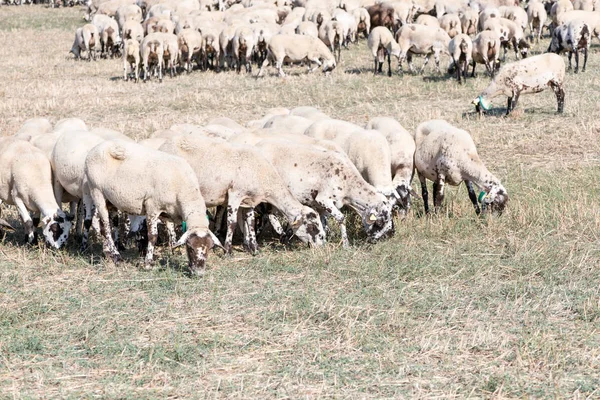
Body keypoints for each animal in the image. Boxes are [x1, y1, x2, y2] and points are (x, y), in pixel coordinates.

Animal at [81, 138, 219, 276]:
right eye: (190, 247)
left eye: (210, 247)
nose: (199, 273)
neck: (185, 191)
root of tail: (95, 148)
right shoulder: (153, 207)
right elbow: (152, 236)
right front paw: (147, 263)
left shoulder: (168, 213)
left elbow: (170, 232)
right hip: (96, 191)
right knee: (106, 228)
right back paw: (116, 257)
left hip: (110, 199)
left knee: (103, 225)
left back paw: (108, 253)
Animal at [157, 134, 326, 253]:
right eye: (312, 227)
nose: (321, 245)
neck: (265, 176)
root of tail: (163, 146)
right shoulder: (235, 195)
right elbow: (231, 223)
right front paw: (228, 250)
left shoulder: (249, 199)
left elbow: (250, 222)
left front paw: (254, 248)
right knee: (168, 221)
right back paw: (173, 245)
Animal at [256, 140, 394, 247]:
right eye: (379, 223)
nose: (373, 241)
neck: (348, 183)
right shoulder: (323, 199)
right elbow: (341, 218)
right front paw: (345, 244)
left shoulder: (322, 205)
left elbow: (322, 222)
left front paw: (324, 239)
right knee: (268, 212)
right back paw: (278, 233)